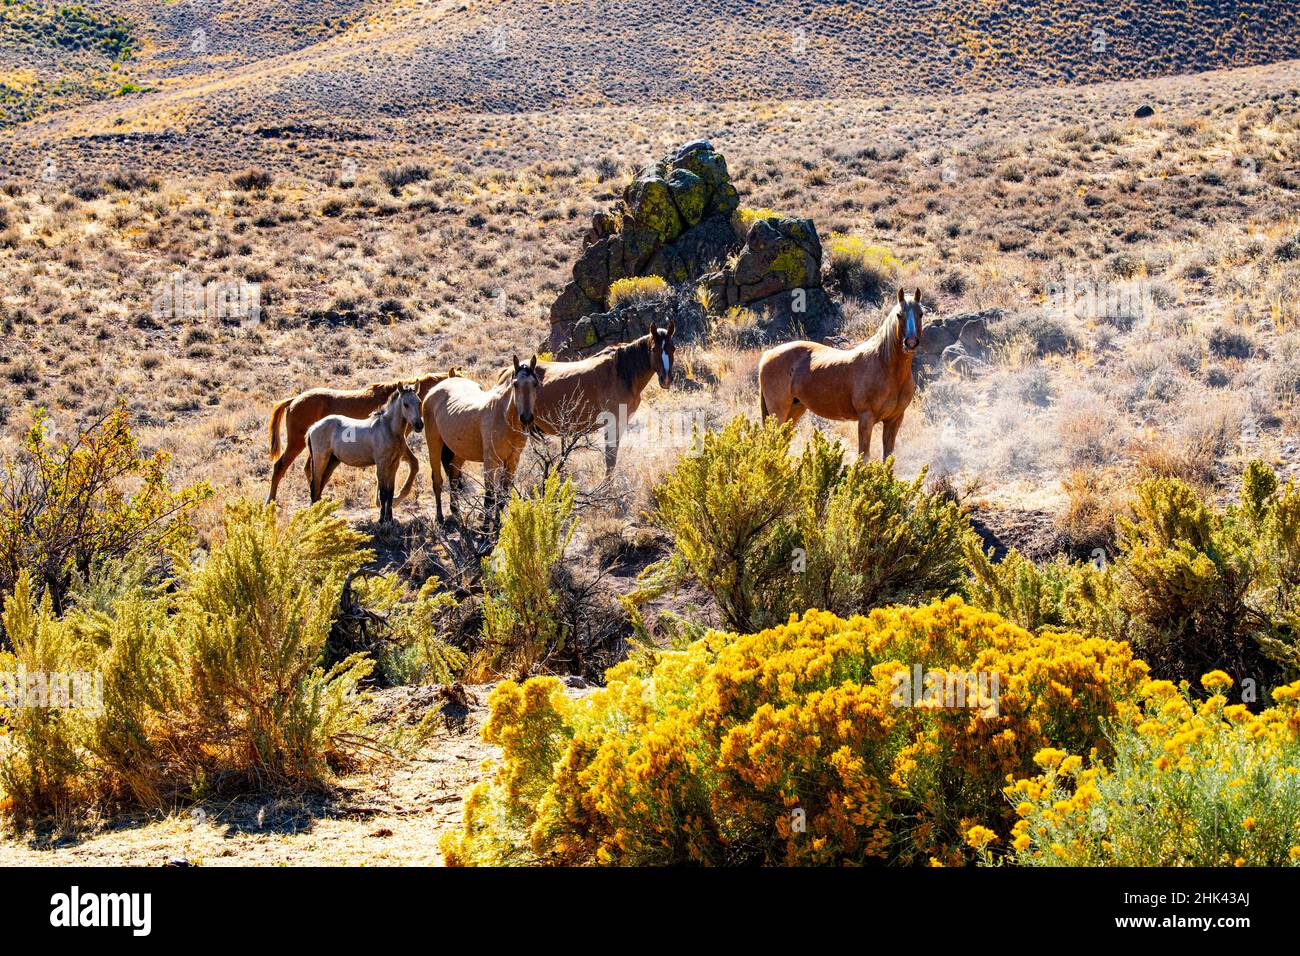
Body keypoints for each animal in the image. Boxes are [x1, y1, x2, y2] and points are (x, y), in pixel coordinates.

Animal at [265, 369, 459, 504]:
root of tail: (293, 400)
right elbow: (412, 465)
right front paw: (392, 499)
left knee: (309, 470)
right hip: (296, 443)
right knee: (280, 467)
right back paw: (271, 502)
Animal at [304, 383, 425, 524]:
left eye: (419, 402)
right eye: (405, 404)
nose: (419, 425)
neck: (387, 429)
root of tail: (313, 427)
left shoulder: (394, 464)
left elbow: (390, 492)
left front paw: (390, 519)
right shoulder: (381, 464)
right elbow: (383, 493)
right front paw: (381, 520)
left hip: (332, 461)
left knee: (319, 487)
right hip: (320, 460)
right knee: (314, 486)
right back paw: (315, 518)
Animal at [422, 356, 542, 527]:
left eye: (535, 384)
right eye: (515, 384)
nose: (526, 418)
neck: (504, 417)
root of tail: (434, 390)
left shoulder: (513, 461)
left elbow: (502, 495)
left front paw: (498, 526)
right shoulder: (490, 461)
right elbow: (489, 496)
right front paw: (485, 528)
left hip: (459, 452)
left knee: (453, 478)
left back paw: (456, 512)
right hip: (434, 445)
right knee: (438, 481)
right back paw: (440, 518)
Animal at [500, 322, 676, 473]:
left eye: (673, 348)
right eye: (653, 349)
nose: (666, 379)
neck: (621, 371)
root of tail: (507, 373)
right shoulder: (613, 423)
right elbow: (610, 461)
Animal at [758, 288, 924, 460]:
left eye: (920, 314)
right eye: (899, 315)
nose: (911, 343)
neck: (886, 368)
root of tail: (767, 355)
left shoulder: (894, 419)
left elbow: (888, 457)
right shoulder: (866, 419)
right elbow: (864, 457)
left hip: (795, 409)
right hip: (778, 412)